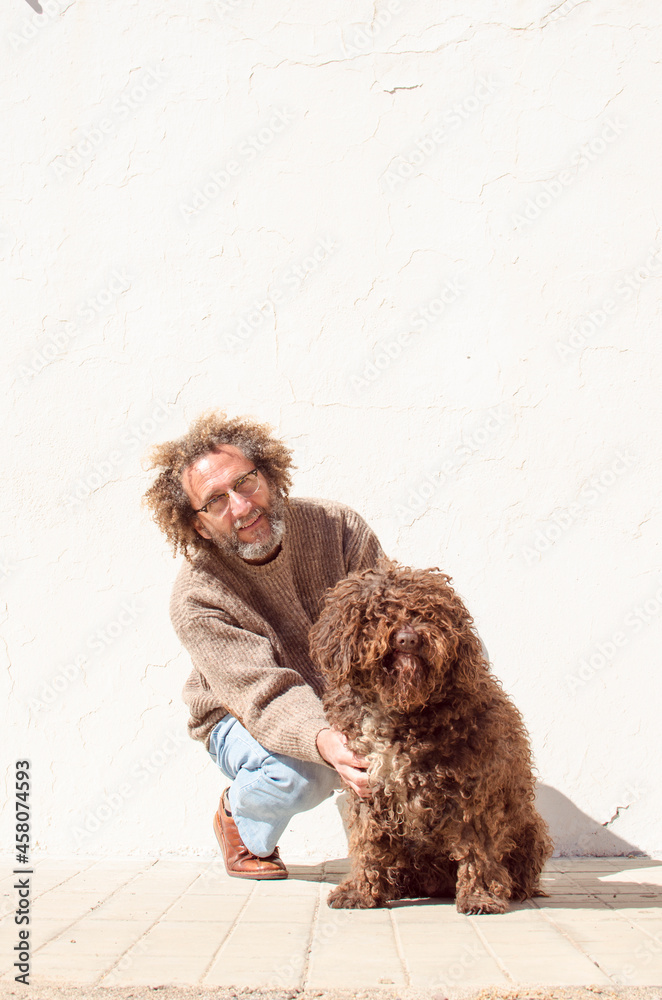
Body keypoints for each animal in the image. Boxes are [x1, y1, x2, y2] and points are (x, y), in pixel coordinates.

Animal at [309, 558, 553, 913]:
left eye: (430, 612)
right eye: (379, 611)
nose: (408, 639)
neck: (400, 709)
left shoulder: (474, 793)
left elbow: (478, 848)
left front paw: (479, 895)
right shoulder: (367, 788)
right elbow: (368, 842)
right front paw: (360, 890)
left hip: (529, 830)